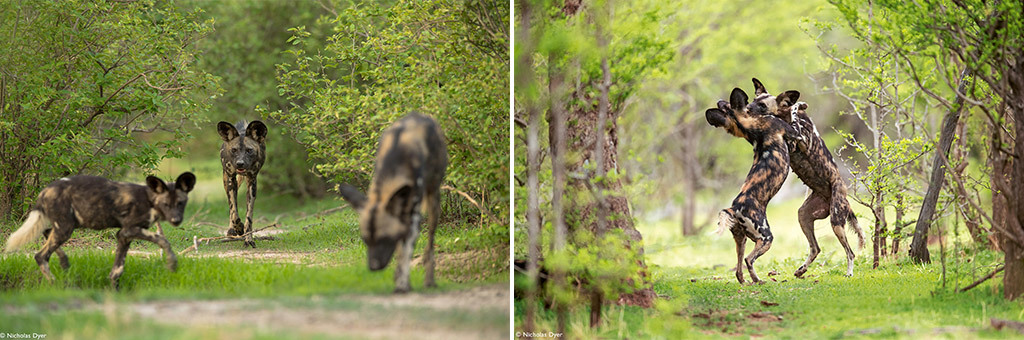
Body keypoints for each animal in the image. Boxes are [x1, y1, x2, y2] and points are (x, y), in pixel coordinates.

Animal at [4, 173, 195, 288]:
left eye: (181, 203)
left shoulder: (124, 236)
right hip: (66, 228)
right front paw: (172, 264)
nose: (176, 220)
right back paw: (57, 285)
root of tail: (44, 191)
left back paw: (65, 263)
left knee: (47, 233)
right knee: (40, 256)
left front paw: (114, 292)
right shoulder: (129, 231)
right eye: (166, 204)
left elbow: (117, 270)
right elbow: (163, 240)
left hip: (68, 225)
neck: (150, 200)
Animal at [337, 112, 446, 292]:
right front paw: (400, 281)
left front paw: (402, 285)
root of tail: (419, 114)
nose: (373, 267)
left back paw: (429, 280)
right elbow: (400, 253)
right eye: (366, 240)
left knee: (430, 244)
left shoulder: (412, 219)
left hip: (433, 202)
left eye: (384, 238)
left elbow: (405, 253)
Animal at [704, 88, 798, 284]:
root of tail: (734, 208)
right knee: (749, 259)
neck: (748, 128)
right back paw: (759, 281)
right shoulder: (793, 134)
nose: (719, 100)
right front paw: (795, 108)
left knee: (739, 268)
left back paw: (747, 282)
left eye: (724, 105)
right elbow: (794, 118)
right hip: (766, 237)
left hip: (741, 239)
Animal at [745, 78, 864, 278]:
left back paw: (849, 272)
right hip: (804, 215)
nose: (746, 108)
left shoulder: (799, 139)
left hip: (836, 222)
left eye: (762, 105)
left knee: (850, 252)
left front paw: (796, 107)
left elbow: (795, 117)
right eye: (754, 100)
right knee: (816, 248)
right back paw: (801, 270)